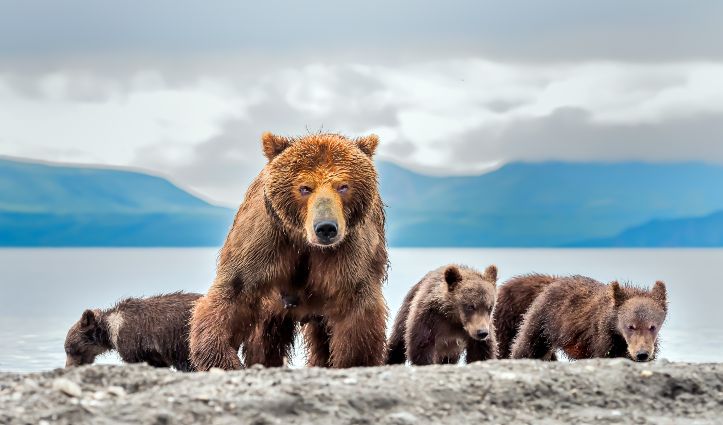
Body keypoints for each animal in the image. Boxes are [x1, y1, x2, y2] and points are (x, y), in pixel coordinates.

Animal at [189, 132, 388, 368]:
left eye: (343, 186)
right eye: (305, 187)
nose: (326, 228)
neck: (305, 242)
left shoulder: (349, 252)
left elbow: (356, 309)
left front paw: (353, 360)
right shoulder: (264, 242)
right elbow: (233, 293)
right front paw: (223, 359)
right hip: (272, 307)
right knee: (266, 341)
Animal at [512, 274, 672, 362]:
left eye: (652, 326)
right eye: (631, 326)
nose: (642, 354)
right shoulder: (602, 338)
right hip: (544, 320)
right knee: (528, 345)